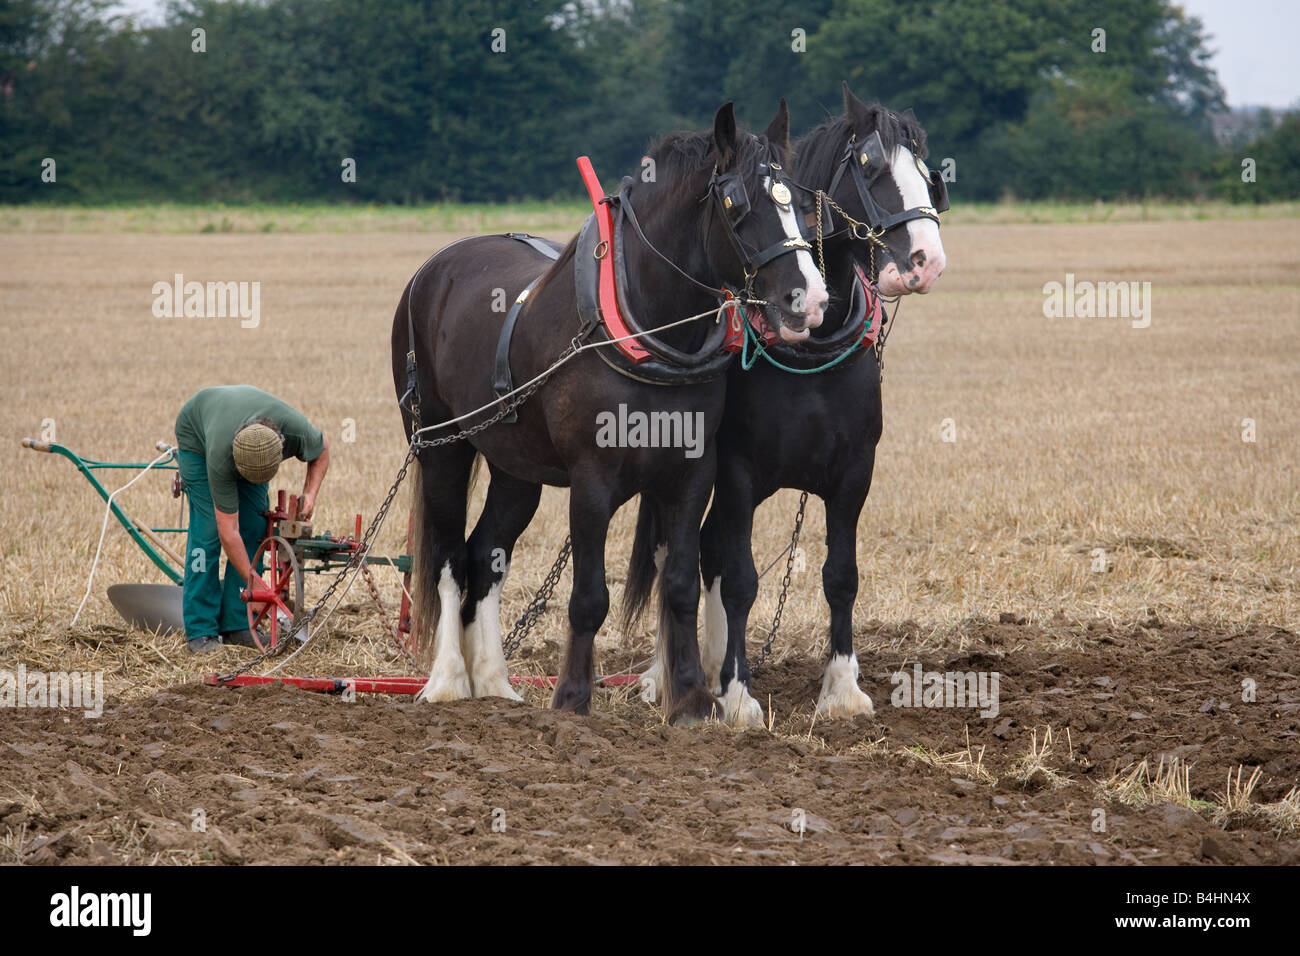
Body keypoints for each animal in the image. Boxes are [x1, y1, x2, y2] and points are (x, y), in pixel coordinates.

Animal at [391, 102, 828, 724]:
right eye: (738, 203)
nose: (810, 300)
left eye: (799, 199)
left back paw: (494, 683)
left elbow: (680, 585)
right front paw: (573, 698)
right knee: (450, 559)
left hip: (515, 470)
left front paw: (691, 699)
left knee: (485, 556)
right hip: (440, 446)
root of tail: (433, 270)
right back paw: (449, 680)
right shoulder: (591, 481)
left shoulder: (690, 473)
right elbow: (588, 595)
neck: (646, 323)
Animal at [631, 84, 949, 727]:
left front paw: (843, 689)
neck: (812, 354)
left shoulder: (854, 473)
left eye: (928, 172)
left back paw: (708, 662)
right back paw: (664, 674)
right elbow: (741, 582)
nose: (927, 260)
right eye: (870, 167)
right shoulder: (737, 474)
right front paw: (739, 696)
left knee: (706, 550)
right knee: (675, 551)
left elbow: (840, 576)